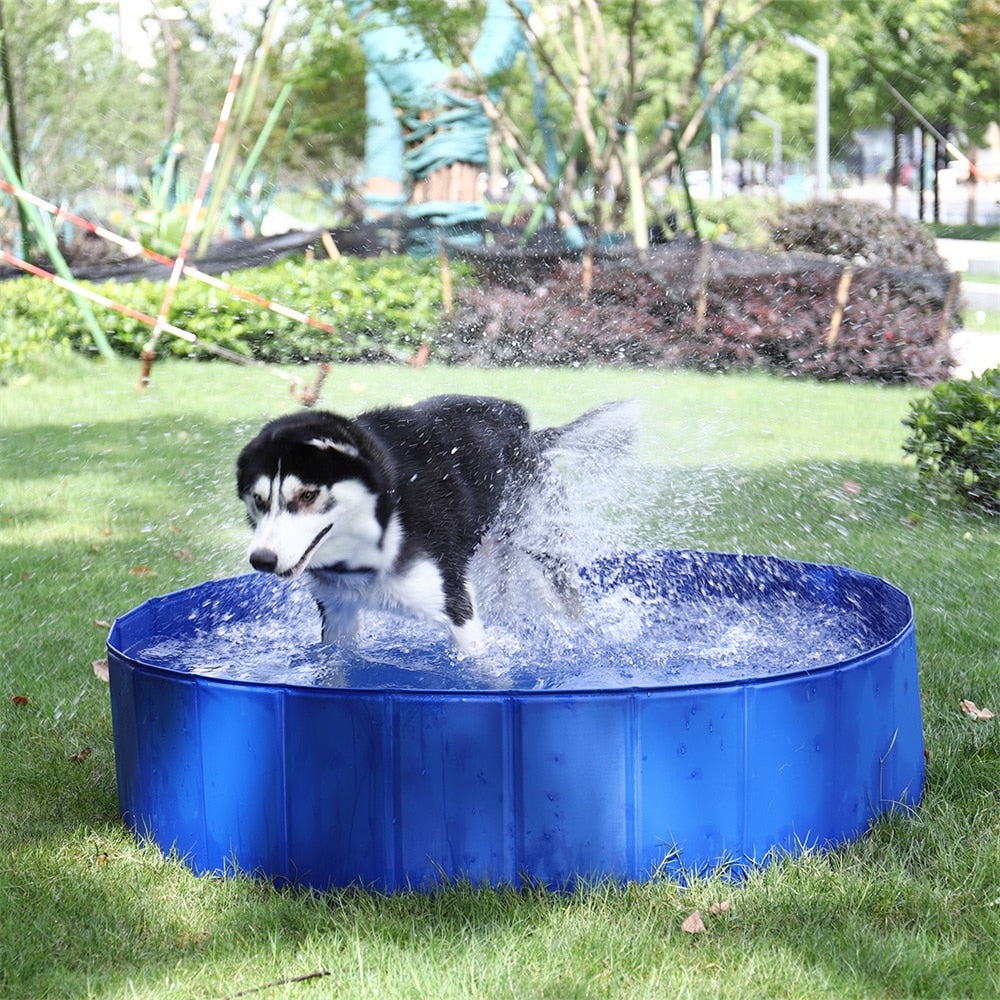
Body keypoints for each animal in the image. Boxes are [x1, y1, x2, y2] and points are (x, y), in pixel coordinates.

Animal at [238, 394, 636, 660]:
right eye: (258, 500)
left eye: (308, 495)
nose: (262, 559)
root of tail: (530, 437)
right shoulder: (337, 615)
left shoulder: (457, 606)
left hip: (543, 552)